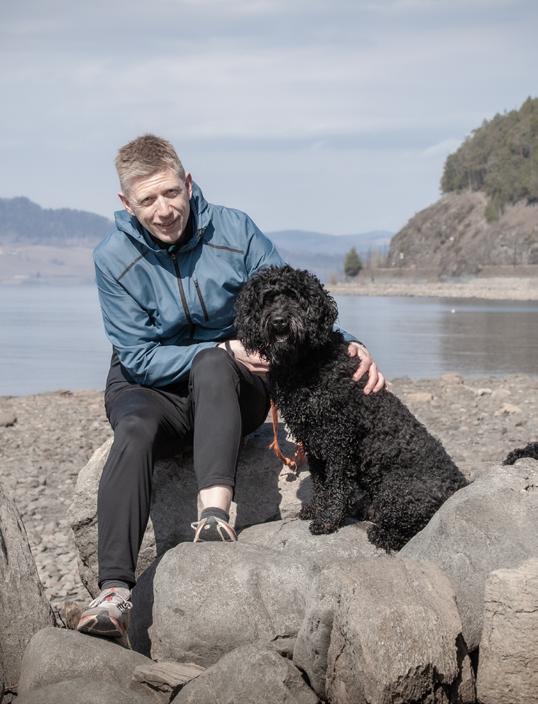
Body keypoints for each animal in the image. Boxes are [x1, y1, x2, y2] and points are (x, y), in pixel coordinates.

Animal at [235, 265, 468, 552]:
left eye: (294, 296)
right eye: (267, 299)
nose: (279, 321)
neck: (304, 362)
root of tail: (460, 484)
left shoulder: (338, 438)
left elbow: (336, 484)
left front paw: (328, 521)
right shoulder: (313, 441)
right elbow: (320, 482)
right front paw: (315, 509)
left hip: (396, 489)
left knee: (414, 528)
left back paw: (383, 534)